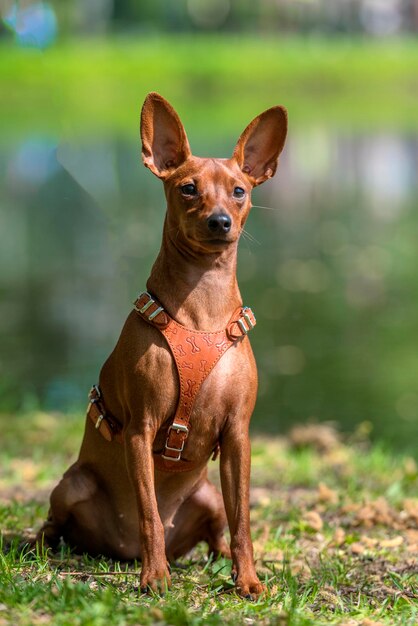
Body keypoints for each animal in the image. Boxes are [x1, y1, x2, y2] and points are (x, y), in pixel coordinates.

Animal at [38, 91, 288, 596]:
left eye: (239, 191)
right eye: (187, 188)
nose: (220, 222)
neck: (201, 310)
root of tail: (119, 551)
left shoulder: (238, 435)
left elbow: (244, 521)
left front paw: (249, 580)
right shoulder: (141, 429)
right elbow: (150, 514)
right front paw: (154, 578)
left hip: (208, 494)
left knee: (219, 531)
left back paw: (221, 560)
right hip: (72, 486)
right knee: (58, 524)